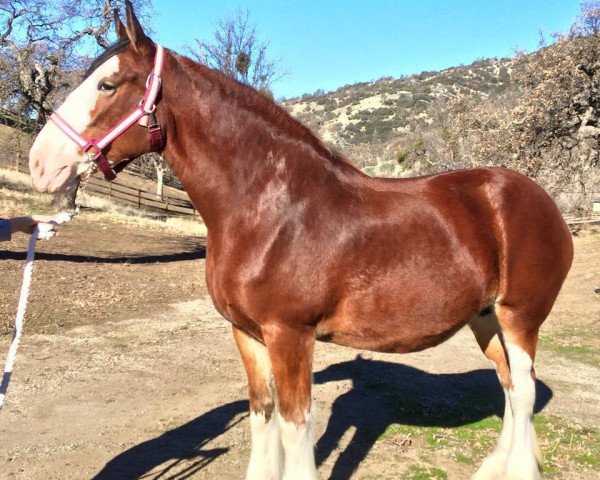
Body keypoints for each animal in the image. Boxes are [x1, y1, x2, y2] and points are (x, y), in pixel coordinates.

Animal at [28, 3, 572, 480]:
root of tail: (543, 201)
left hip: (519, 317)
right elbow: (262, 415)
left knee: (523, 391)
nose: (40, 163)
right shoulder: (247, 334)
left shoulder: (290, 334)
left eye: (107, 84)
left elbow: (295, 427)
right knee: (508, 387)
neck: (270, 210)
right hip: (484, 319)